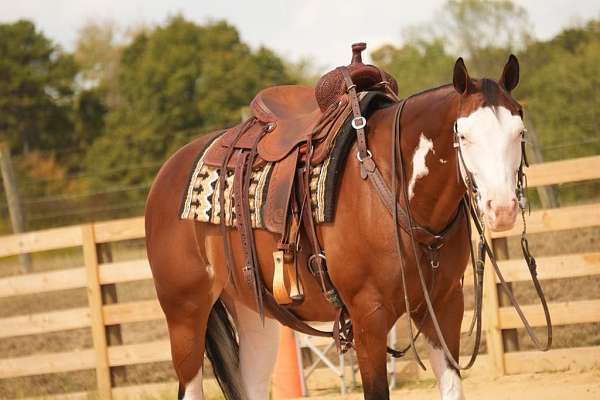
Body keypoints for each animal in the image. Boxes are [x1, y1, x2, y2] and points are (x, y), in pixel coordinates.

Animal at [148, 54, 528, 400]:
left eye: (520, 132)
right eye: (464, 135)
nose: (502, 208)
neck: (393, 185)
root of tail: (166, 173)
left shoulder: (444, 307)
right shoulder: (368, 318)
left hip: (253, 312)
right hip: (185, 316)